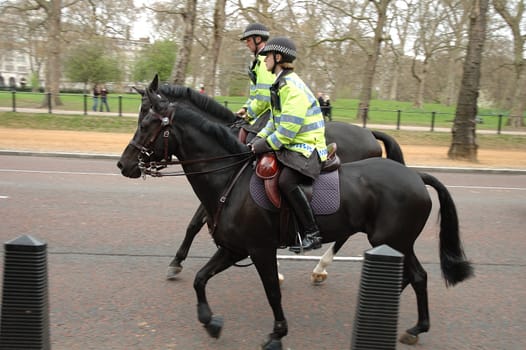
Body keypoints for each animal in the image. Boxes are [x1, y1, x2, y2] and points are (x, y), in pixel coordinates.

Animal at [134, 76, 406, 278]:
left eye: (146, 112)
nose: (134, 158)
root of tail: (370, 134)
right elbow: (193, 225)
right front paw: (177, 261)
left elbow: (194, 224)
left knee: (344, 233)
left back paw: (321, 266)